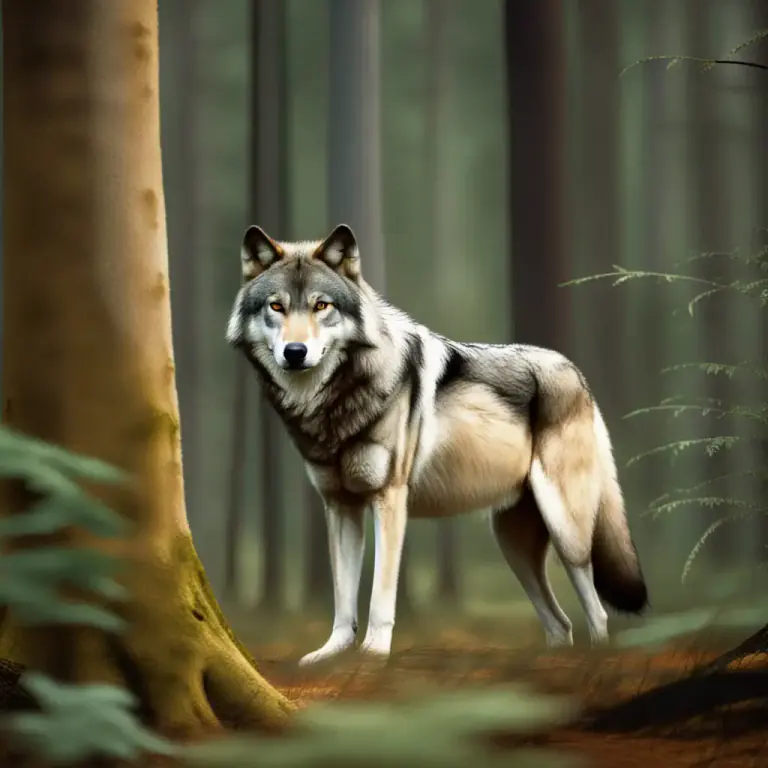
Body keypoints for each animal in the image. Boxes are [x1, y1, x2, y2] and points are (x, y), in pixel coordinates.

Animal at [226, 223, 648, 666]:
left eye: (321, 305)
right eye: (276, 307)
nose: (295, 352)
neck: (336, 401)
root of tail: (576, 373)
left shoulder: (389, 500)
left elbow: (380, 596)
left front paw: (374, 654)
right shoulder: (340, 506)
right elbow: (343, 600)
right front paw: (332, 653)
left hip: (567, 531)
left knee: (597, 613)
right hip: (513, 547)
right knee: (560, 624)